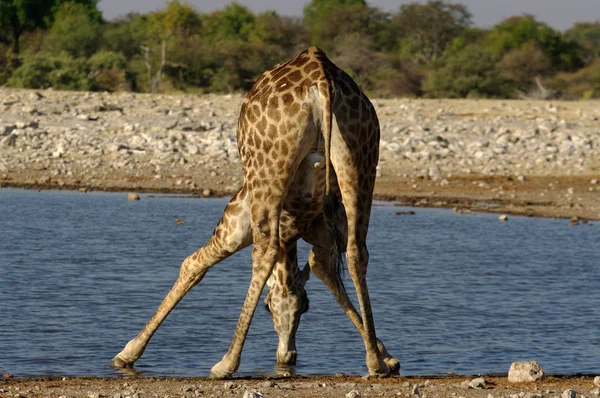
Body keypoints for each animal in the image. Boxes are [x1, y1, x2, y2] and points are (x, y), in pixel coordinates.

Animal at [112, 45, 398, 376]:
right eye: (272, 306)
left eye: (303, 307)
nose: (287, 357)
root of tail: (323, 81)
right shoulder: (323, 237)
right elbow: (322, 268)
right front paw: (385, 355)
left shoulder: (234, 225)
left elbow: (192, 264)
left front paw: (128, 352)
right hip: (360, 161)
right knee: (357, 253)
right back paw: (373, 362)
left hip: (267, 174)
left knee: (266, 251)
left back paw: (226, 362)